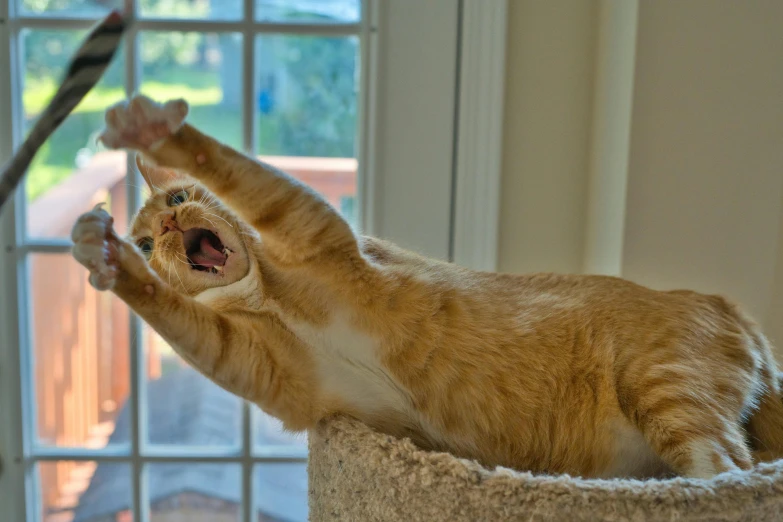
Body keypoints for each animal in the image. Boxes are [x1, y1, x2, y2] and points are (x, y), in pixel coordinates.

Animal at [72, 95, 783, 478]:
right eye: (145, 244)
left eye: (180, 198)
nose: (168, 224)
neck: (271, 298)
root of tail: (734, 309)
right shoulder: (258, 368)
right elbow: (177, 316)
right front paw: (102, 257)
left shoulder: (305, 222)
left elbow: (233, 167)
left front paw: (152, 129)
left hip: (667, 387)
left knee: (729, 474)